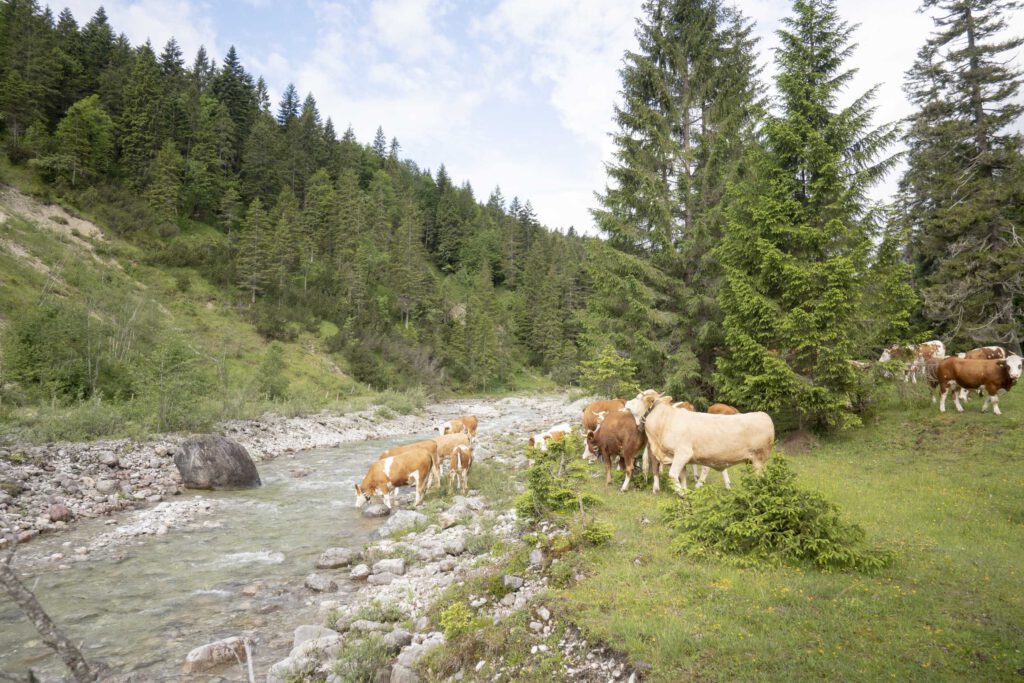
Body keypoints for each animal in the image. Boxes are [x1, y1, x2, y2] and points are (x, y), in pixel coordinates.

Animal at [622, 389, 774, 497]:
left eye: (637, 397)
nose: (626, 403)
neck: (664, 421)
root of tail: (763, 415)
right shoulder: (678, 458)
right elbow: (682, 478)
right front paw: (684, 492)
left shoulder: (683, 454)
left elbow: (672, 475)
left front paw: (684, 495)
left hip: (759, 461)